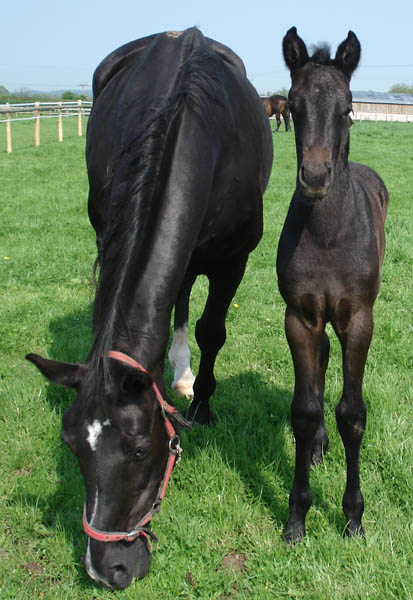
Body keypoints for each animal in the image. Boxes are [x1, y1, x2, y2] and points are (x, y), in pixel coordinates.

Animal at [25, 25, 270, 588]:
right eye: (71, 446)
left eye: (139, 449)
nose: (107, 569)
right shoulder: (109, 235)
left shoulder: (233, 261)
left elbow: (212, 331)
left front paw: (201, 406)